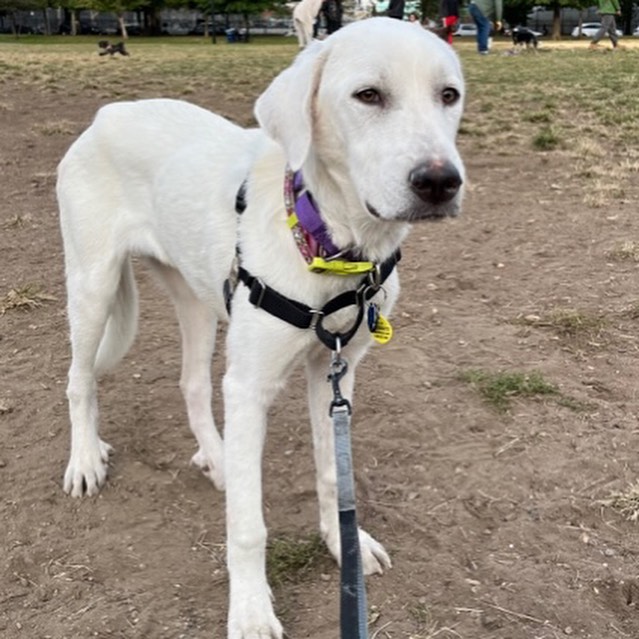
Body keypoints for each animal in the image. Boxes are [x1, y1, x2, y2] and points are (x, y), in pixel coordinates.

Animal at [57, 17, 464, 639]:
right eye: (368, 95)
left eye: (449, 95)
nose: (441, 182)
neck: (331, 244)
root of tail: (108, 112)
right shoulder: (251, 388)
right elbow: (248, 527)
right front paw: (250, 610)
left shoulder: (334, 373)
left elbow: (333, 476)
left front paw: (343, 544)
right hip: (93, 285)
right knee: (79, 380)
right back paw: (84, 460)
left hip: (197, 301)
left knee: (192, 384)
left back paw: (219, 458)